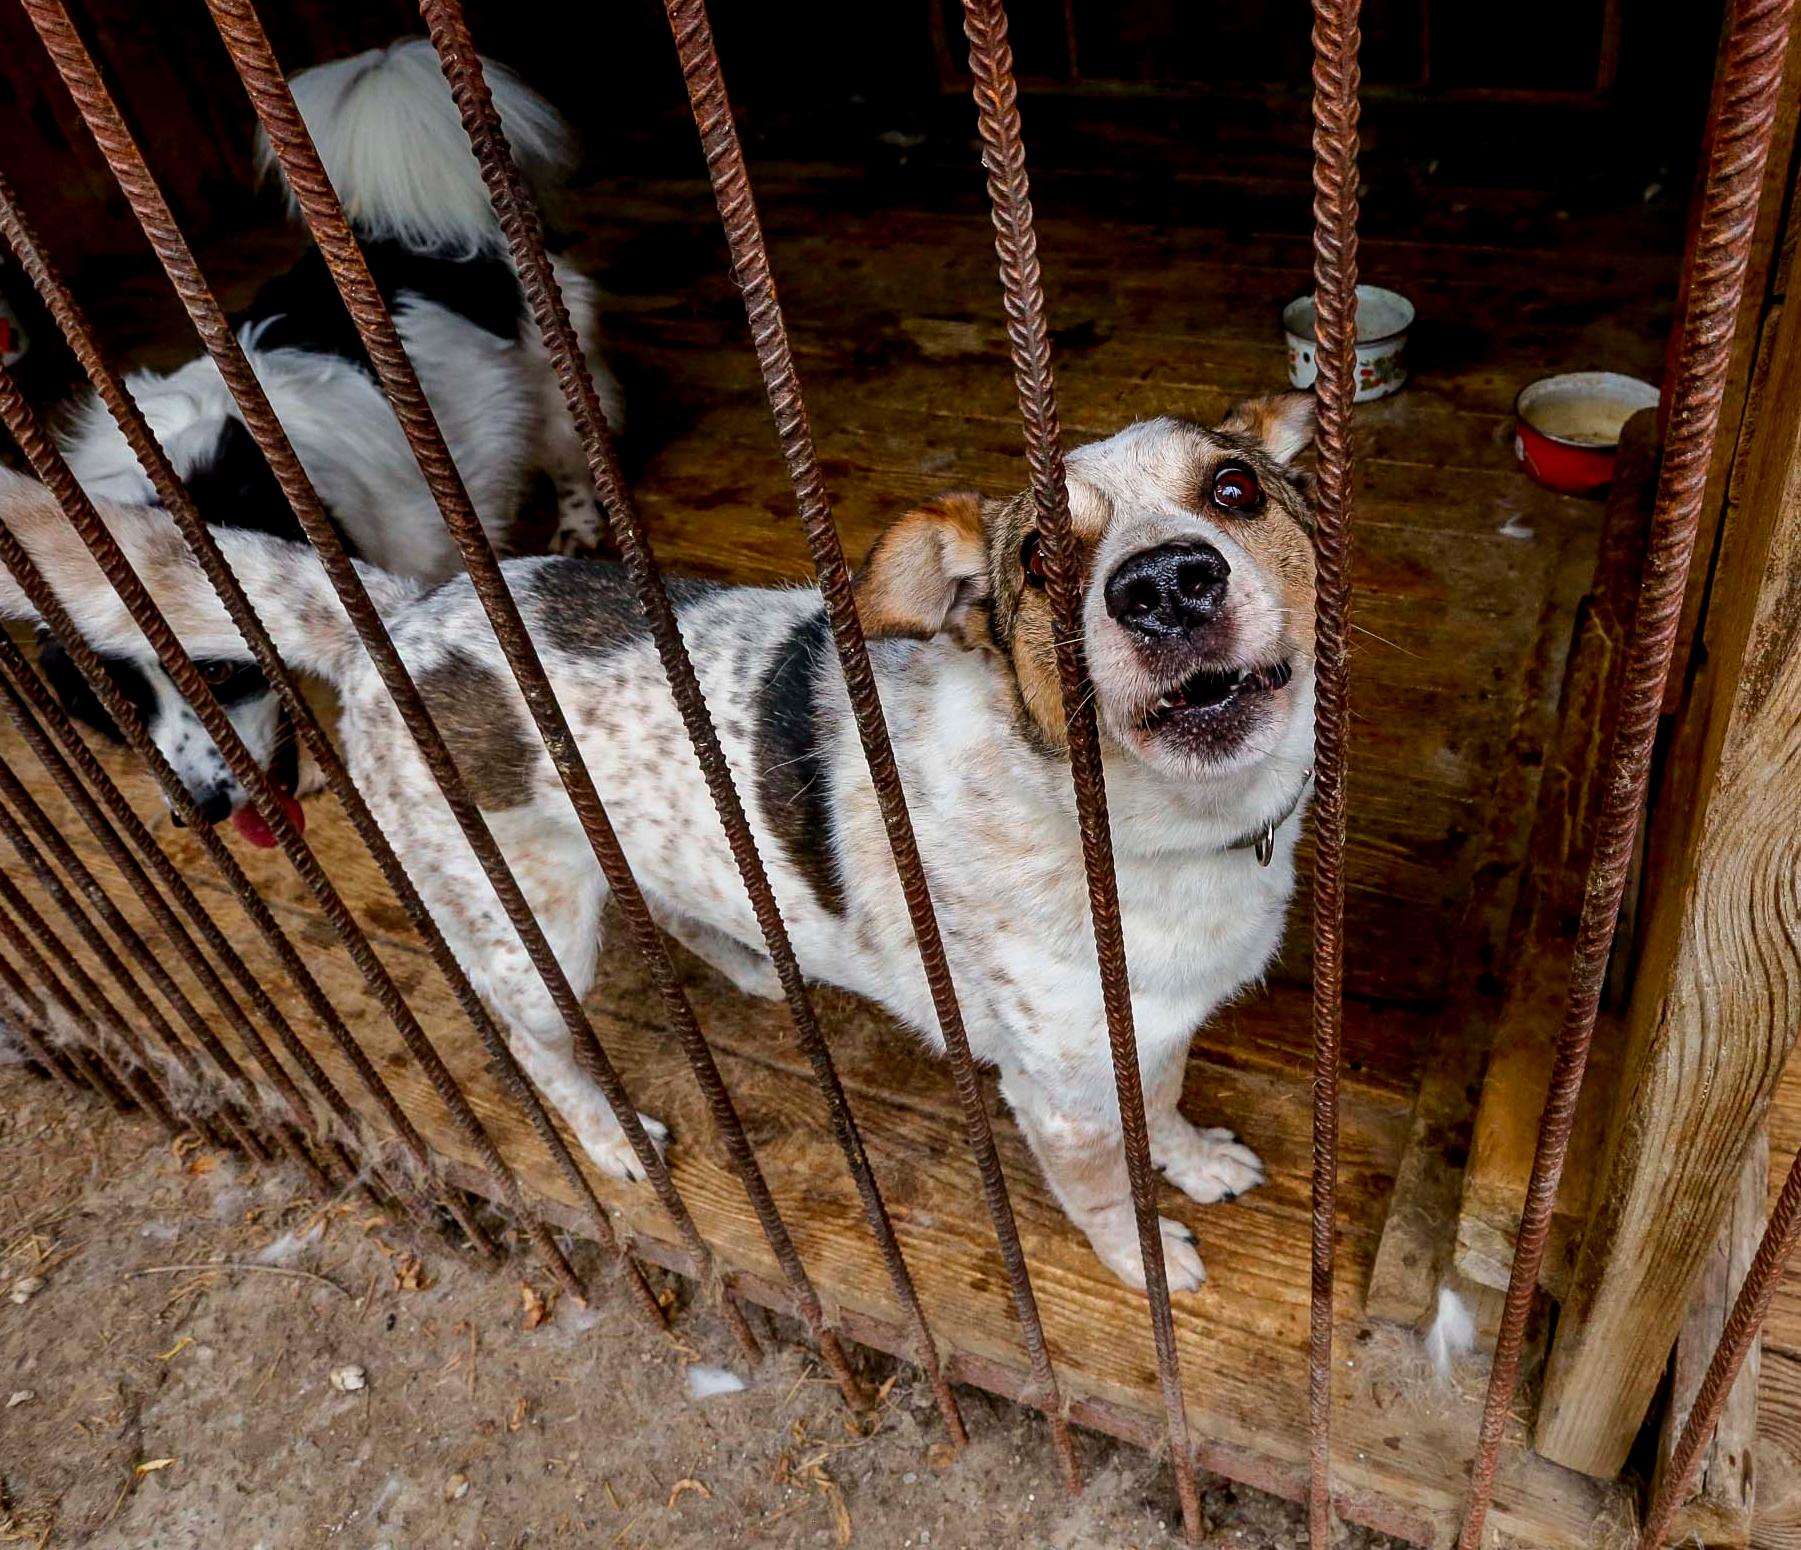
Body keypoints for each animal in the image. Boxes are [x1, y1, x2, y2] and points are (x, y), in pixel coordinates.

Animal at [0, 396, 1325, 1281]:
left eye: (1234, 489)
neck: (1155, 832)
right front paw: (1150, 1259)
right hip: (528, 930)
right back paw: (613, 1137)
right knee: (536, 1048)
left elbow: (1165, 1104)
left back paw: (749, 959)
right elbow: (1106, 1194)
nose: (1165, 585)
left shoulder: (1151, 1030)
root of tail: (398, 618)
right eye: (1044, 558)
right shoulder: (1060, 1095)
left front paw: (1194, 1158)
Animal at [45, 36, 623, 838]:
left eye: (219, 668)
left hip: (554, 379)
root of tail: (409, 231)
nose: (206, 811)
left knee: (569, 451)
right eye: (119, 699)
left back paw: (577, 525)